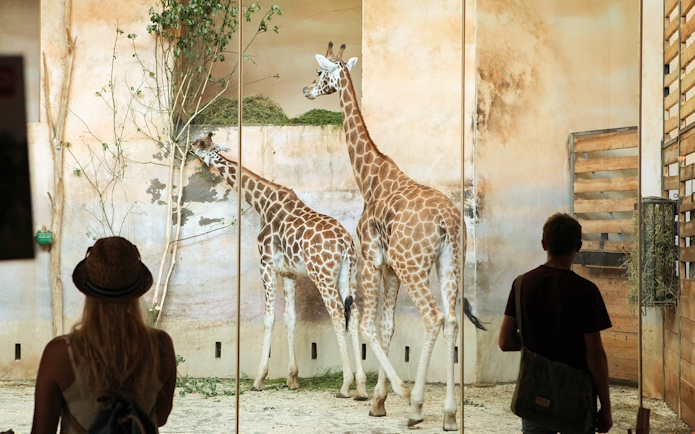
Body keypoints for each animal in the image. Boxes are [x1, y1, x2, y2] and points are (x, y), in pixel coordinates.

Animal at [191, 133, 368, 401]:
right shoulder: (289, 273)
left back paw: (345, 385)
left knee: (338, 314)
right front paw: (292, 378)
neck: (263, 203)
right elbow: (290, 318)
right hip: (349, 274)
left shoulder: (266, 266)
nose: (189, 147)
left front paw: (259, 379)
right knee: (354, 314)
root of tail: (346, 243)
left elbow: (269, 318)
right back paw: (362, 386)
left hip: (323, 275)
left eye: (202, 143)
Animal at [303, 42, 486, 431]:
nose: (306, 90)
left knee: (433, 317)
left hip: (413, 264)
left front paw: (391, 395)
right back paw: (449, 414)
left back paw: (416, 405)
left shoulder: (372, 260)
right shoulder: (388, 267)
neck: (370, 178)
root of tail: (448, 221)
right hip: (450, 264)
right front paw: (378, 401)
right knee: (451, 322)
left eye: (321, 73)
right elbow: (387, 327)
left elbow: (369, 326)